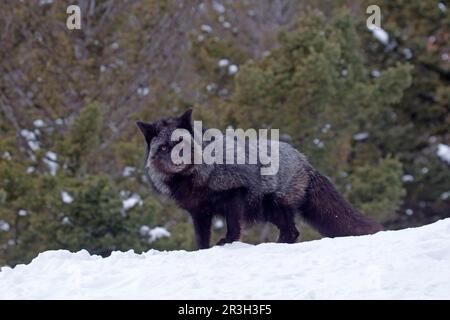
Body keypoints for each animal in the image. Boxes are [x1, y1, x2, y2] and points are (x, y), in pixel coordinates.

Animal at [137, 109, 384, 249]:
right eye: (164, 147)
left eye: (181, 143)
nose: (176, 161)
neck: (196, 178)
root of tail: (304, 160)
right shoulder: (199, 212)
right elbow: (201, 239)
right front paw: (204, 251)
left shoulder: (234, 194)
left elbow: (233, 228)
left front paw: (227, 243)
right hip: (269, 211)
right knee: (291, 232)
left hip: (275, 205)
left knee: (292, 232)